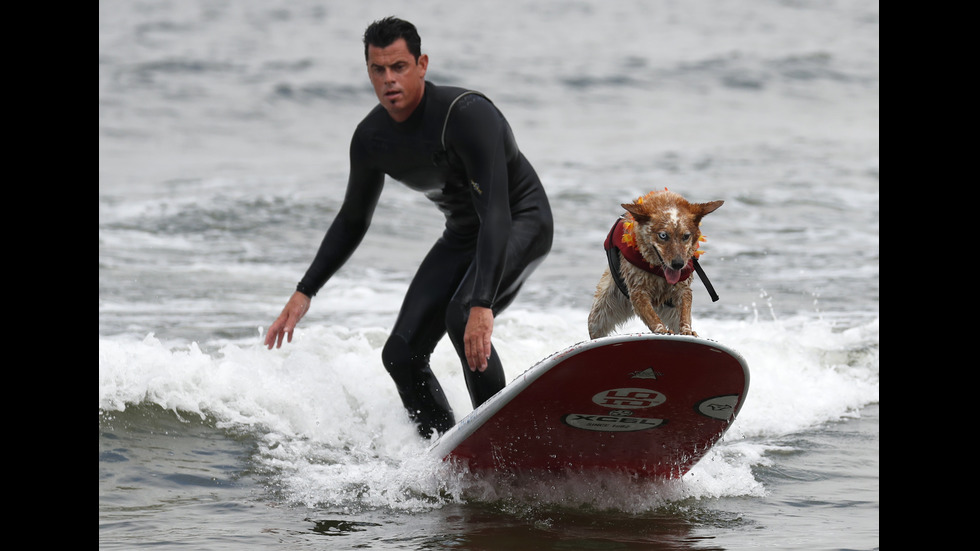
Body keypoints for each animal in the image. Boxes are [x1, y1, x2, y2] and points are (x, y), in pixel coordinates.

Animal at [584, 190, 724, 338]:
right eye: (663, 235)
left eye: (686, 236)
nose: (678, 264)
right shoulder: (638, 291)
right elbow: (651, 316)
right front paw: (661, 330)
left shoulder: (683, 288)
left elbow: (685, 311)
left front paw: (687, 331)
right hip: (601, 314)